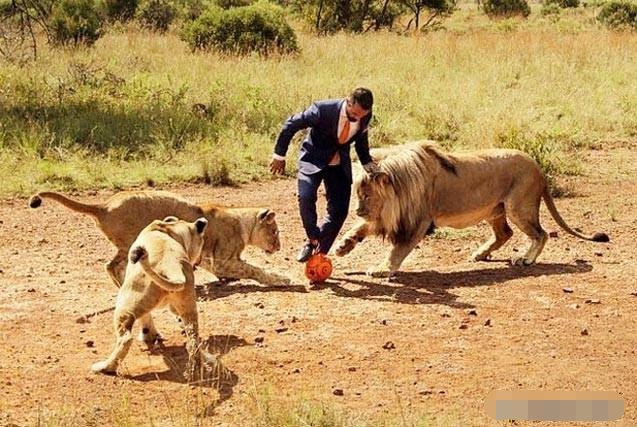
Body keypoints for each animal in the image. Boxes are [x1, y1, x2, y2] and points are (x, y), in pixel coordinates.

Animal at [29, 191, 288, 288]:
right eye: (275, 231)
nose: (279, 246)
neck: (242, 221)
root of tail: (103, 206)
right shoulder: (223, 260)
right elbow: (254, 270)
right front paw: (281, 279)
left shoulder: (207, 257)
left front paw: (227, 280)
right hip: (131, 241)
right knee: (112, 266)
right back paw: (122, 285)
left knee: (112, 265)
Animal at [332, 142, 608, 280]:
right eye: (357, 195)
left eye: (366, 195)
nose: (357, 211)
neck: (401, 185)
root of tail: (537, 166)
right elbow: (362, 228)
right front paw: (343, 245)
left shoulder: (418, 221)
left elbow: (397, 250)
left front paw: (381, 269)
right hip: (495, 210)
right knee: (505, 234)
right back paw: (480, 253)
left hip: (518, 207)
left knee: (541, 233)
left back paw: (526, 259)